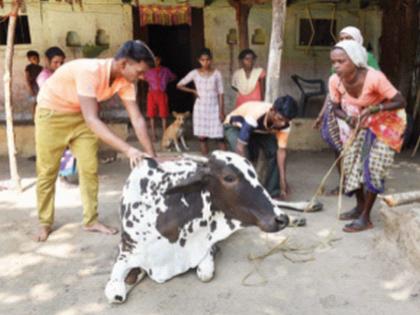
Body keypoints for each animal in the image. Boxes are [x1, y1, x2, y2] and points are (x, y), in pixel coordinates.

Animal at [106, 152, 322, 304]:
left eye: (254, 175)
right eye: (228, 177)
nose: (280, 220)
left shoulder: (207, 245)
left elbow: (205, 273)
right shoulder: (126, 251)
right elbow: (115, 293)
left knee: (276, 200)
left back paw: (303, 209)